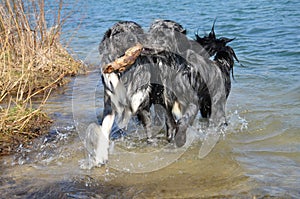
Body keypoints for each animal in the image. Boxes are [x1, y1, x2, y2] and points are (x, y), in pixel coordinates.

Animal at [94, 19, 239, 165]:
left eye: (161, 34)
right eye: (118, 33)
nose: (141, 40)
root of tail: (220, 64)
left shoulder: (189, 102)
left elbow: (181, 122)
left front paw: (179, 140)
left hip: (215, 105)